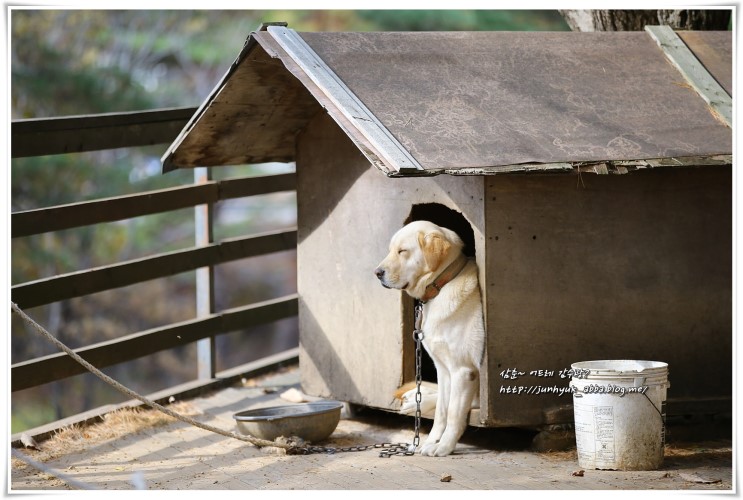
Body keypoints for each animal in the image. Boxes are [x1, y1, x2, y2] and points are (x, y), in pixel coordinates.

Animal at [374, 220, 486, 458]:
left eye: (402, 251)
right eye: (390, 250)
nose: (376, 272)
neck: (440, 286)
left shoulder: (463, 371)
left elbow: (453, 413)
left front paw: (444, 446)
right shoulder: (443, 369)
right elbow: (442, 411)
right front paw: (430, 441)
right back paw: (415, 400)